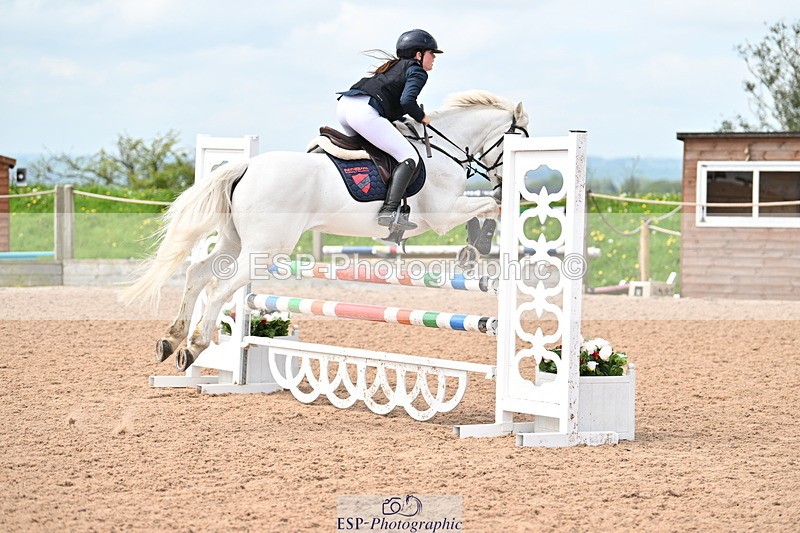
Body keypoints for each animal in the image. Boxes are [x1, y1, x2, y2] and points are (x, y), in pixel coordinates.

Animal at [122, 90, 529, 370]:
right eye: (521, 140)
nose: (509, 185)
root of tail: (246, 166)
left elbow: (484, 210)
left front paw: (473, 247)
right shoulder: (442, 215)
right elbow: (488, 208)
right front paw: (476, 247)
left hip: (233, 241)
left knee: (197, 273)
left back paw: (171, 340)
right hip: (265, 250)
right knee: (219, 288)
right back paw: (194, 346)